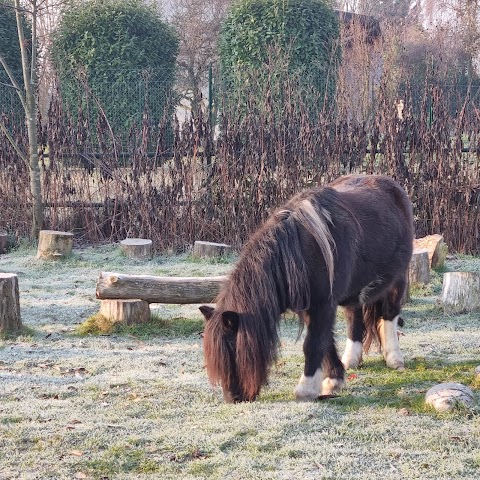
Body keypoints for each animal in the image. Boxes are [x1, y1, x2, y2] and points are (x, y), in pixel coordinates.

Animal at [199, 175, 412, 402]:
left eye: (234, 351)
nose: (233, 398)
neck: (299, 252)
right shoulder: (314, 308)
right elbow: (325, 341)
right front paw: (334, 379)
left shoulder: (323, 305)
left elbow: (314, 343)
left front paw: (307, 389)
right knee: (354, 319)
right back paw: (351, 359)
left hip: (397, 280)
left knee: (389, 315)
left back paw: (394, 358)